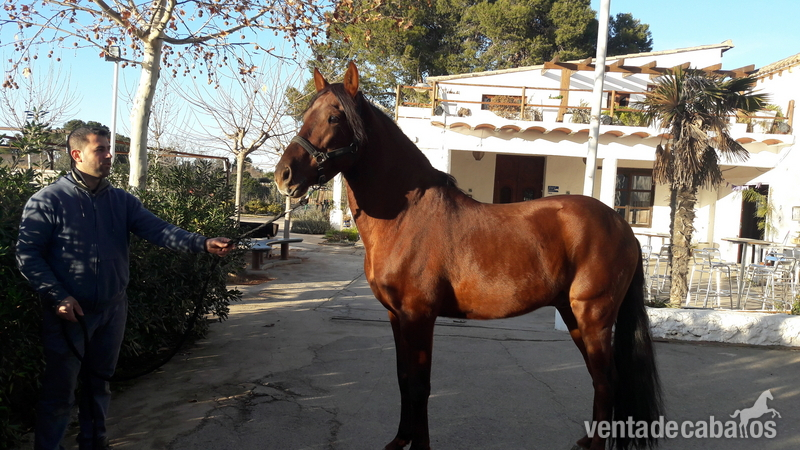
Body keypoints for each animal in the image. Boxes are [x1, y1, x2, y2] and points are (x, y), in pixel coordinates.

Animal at [275, 62, 663, 450]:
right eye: (307, 114)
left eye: (335, 117)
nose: (283, 175)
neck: (406, 218)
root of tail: (622, 226)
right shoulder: (396, 316)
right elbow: (403, 380)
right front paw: (400, 440)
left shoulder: (419, 316)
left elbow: (420, 386)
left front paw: (419, 446)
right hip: (573, 316)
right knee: (601, 380)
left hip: (593, 316)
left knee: (607, 381)